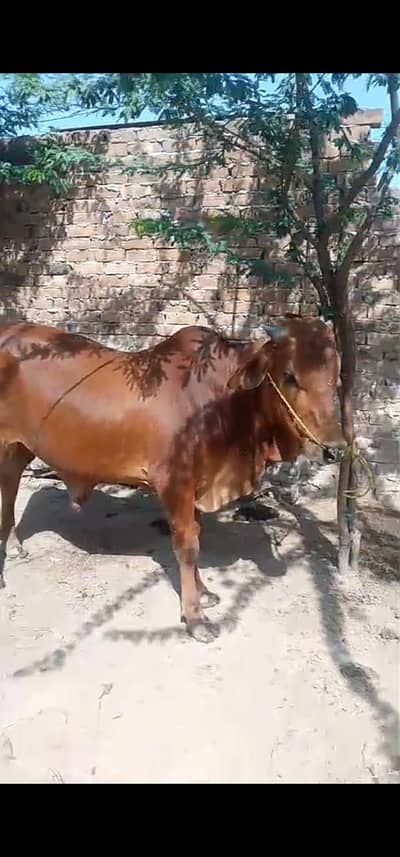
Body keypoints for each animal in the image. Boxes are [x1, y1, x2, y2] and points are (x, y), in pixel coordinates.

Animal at [0, 317, 344, 642]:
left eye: (336, 377)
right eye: (289, 375)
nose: (334, 449)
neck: (224, 403)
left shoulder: (197, 485)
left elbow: (197, 536)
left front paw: (204, 592)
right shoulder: (174, 483)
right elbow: (188, 545)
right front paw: (195, 618)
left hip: (19, 449)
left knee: (11, 491)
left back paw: (14, 546)